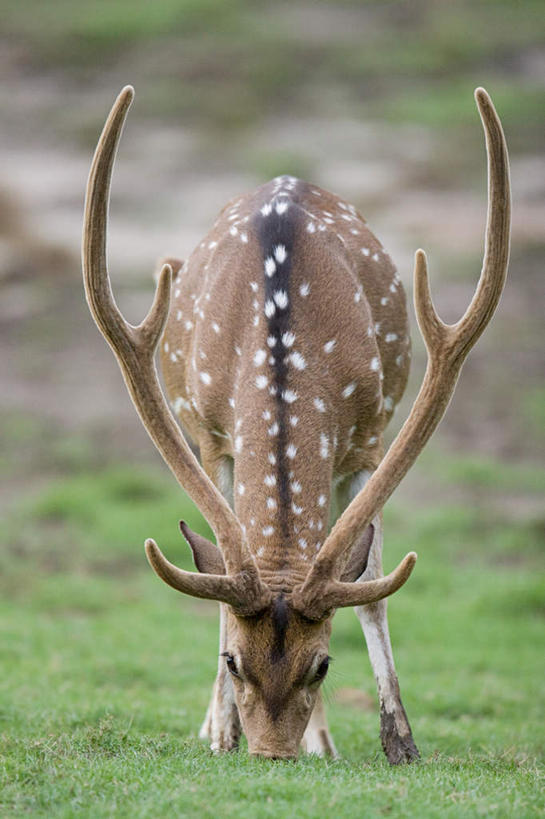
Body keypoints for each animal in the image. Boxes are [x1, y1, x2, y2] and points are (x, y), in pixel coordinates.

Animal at [83, 86, 508, 764]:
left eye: (323, 665)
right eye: (234, 661)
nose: (272, 755)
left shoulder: (367, 439)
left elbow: (373, 590)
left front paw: (400, 741)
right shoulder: (212, 437)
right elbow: (222, 576)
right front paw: (222, 732)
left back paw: (325, 741)